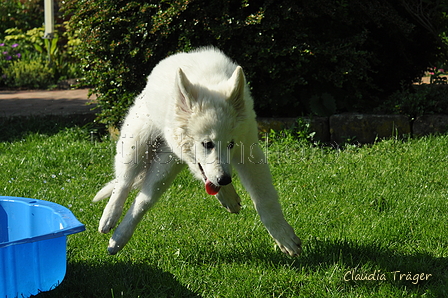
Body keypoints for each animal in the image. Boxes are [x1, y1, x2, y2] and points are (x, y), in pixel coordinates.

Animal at [93, 46, 300, 256]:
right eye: (207, 144)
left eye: (231, 144)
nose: (225, 179)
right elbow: (208, 175)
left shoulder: (249, 151)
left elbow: (264, 199)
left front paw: (283, 236)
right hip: (137, 142)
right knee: (123, 182)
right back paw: (109, 218)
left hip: (165, 167)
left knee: (144, 200)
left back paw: (118, 239)